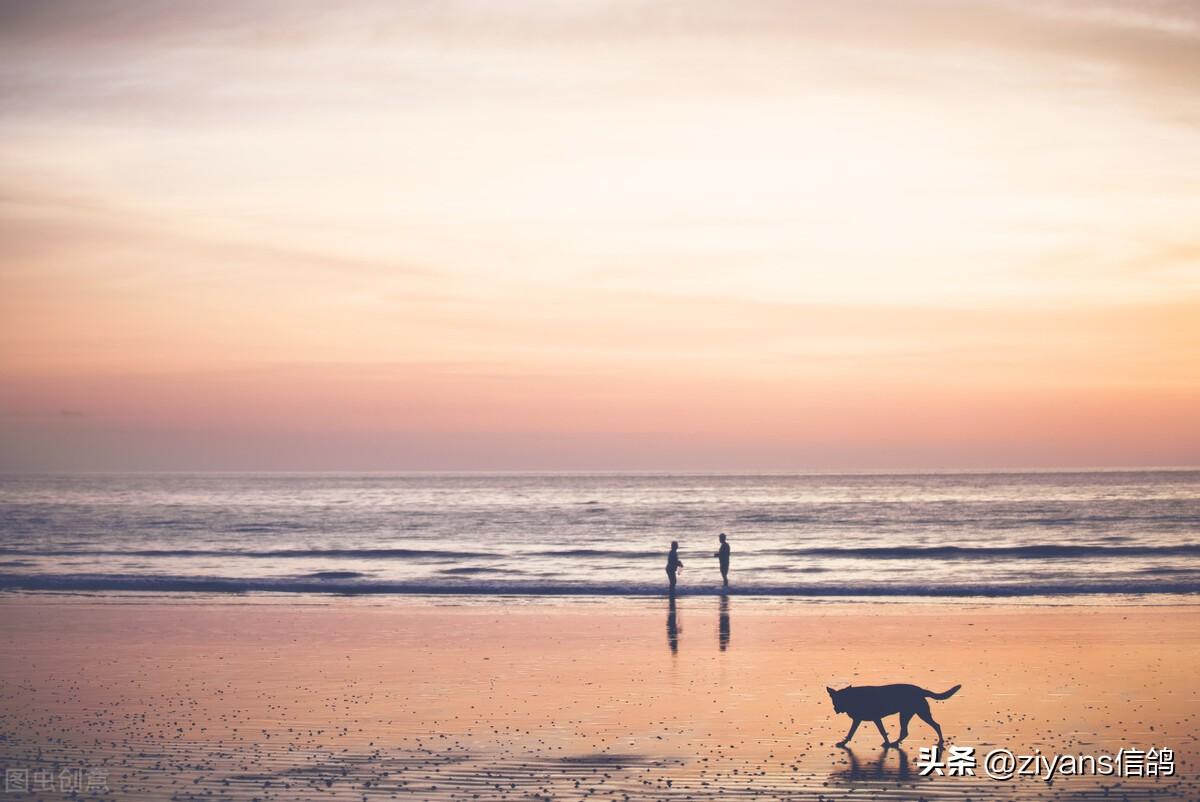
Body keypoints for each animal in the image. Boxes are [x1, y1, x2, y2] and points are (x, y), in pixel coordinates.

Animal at [825, 681, 964, 744]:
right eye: (835, 700)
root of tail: (920, 690)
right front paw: (844, 742)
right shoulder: (859, 720)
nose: (836, 709)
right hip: (907, 714)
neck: (854, 698)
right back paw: (895, 743)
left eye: (842, 699)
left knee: (936, 725)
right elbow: (851, 732)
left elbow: (882, 731)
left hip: (918, 713)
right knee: (905, 732)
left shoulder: (875, 718)